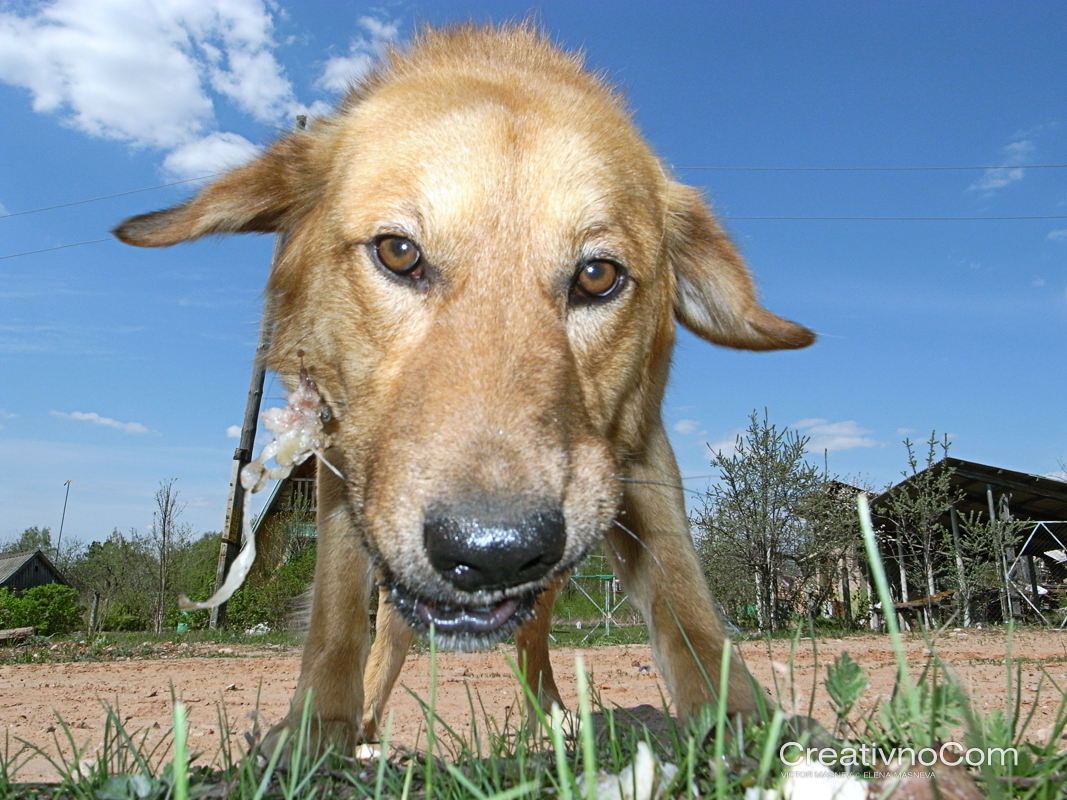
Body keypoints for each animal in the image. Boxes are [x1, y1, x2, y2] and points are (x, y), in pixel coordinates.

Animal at [114, 23, 815, 750]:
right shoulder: (343, 466)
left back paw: (553, 721)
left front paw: (738, 723)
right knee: (390, 635)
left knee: (531, 636)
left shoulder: (641, 455)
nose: (495, 555)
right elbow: (336, 613)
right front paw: (318, 729)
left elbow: (684, 600)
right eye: (398, 252)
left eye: (598, 275)